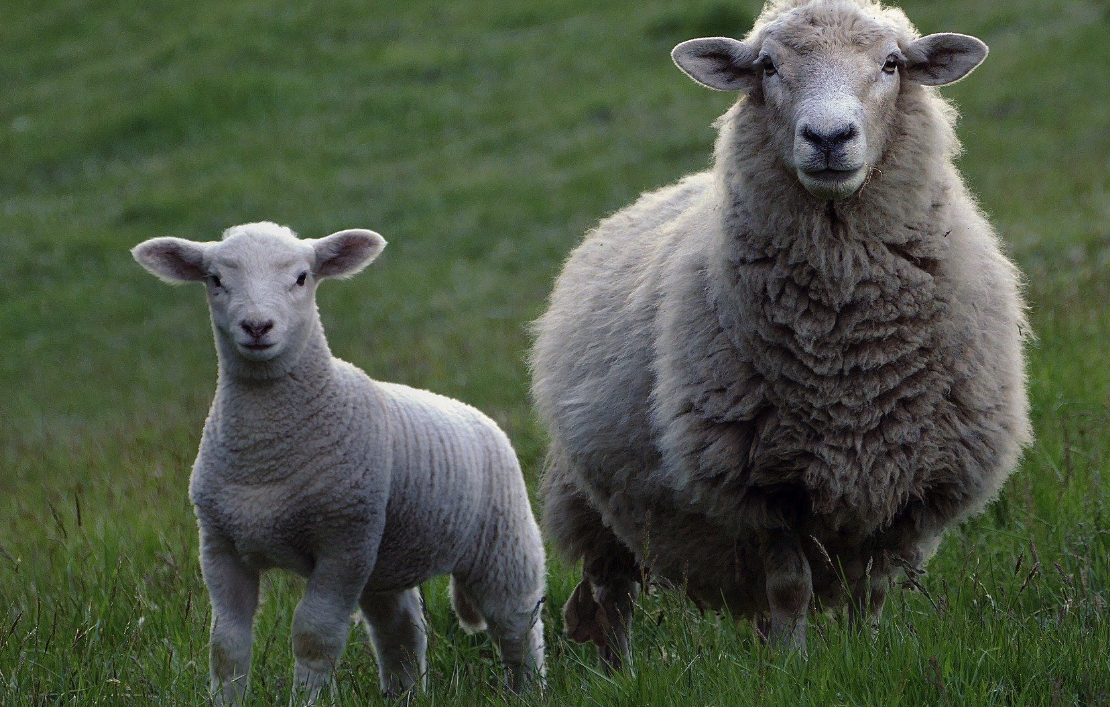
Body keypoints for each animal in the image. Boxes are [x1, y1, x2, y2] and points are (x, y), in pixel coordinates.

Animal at [130, 221, 546, 701]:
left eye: (301, 278)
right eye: (215, 280)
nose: (257, 326)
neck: (263, 454)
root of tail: (477, 415)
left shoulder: (343, 541)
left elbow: (315, 635)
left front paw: (305, 700)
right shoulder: (220, 544)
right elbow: (226, 645)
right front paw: (225, 700)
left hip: (503, 542)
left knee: (518, 624)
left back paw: (529, 690)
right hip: (385, 561)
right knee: (401, 631)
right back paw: (403, 695)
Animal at [528, 0, 1030, 665]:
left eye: (891, 64)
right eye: (767, 66)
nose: (828, 138)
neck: (847, 357)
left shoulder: (907, 483)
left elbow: (871, 590)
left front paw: (864, 657)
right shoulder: (763, 485)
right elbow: (791, 587)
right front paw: (794, 669)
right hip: (591, 502)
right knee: (611, 596)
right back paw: (621, 672)